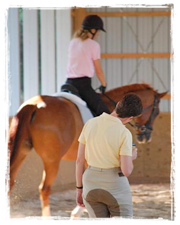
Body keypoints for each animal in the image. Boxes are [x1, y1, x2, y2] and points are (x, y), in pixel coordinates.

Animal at [4, 83, 167, 221]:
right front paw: (77, 214)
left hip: (21, 150)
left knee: (9, 179)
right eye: (156, 112)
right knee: (44, 189)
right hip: (52, 160)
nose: (146, 136)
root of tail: (35, 105)